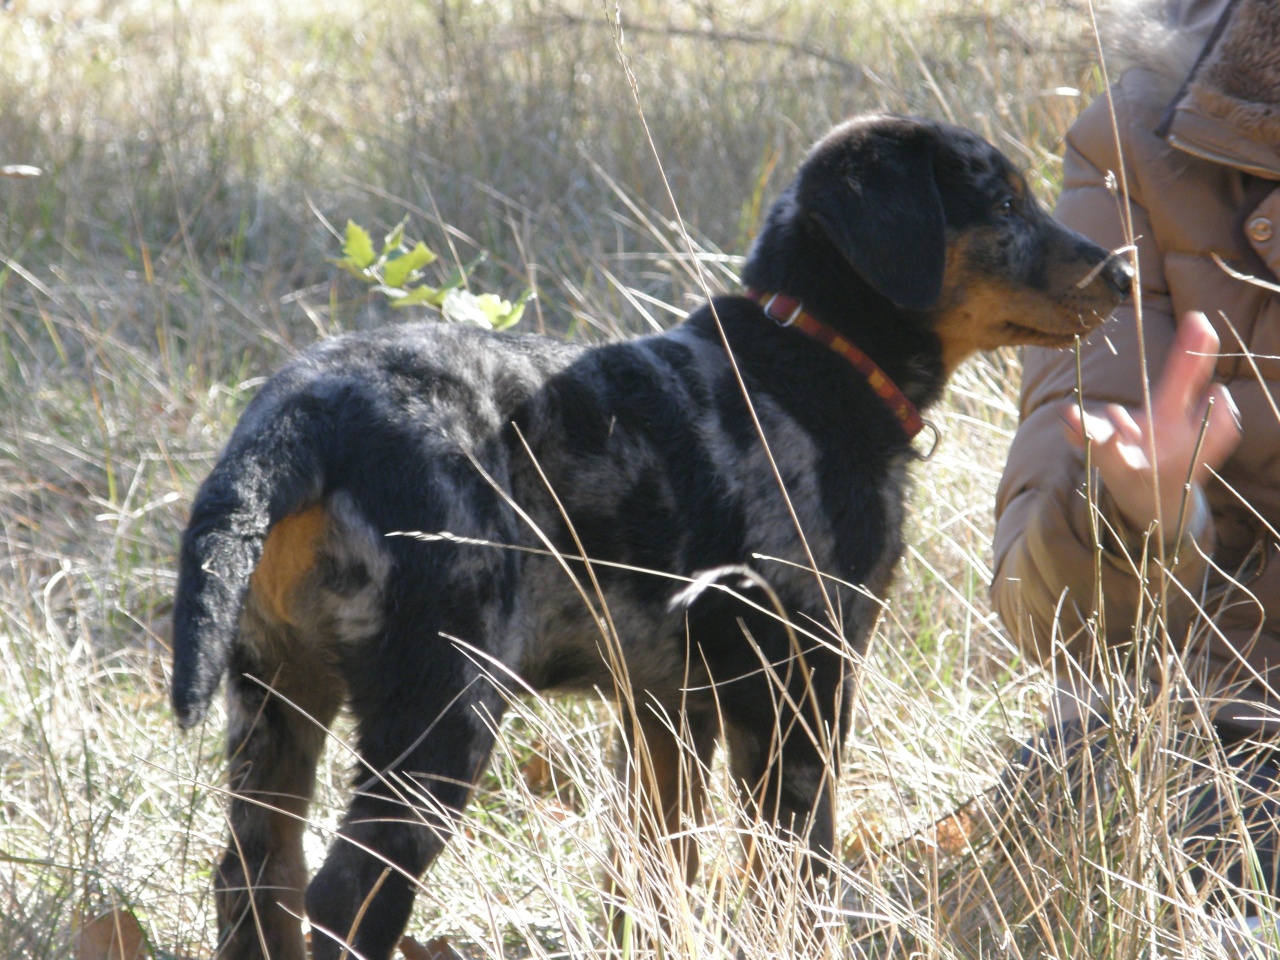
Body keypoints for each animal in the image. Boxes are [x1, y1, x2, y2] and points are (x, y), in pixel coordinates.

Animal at [170, 114, 1131, 960]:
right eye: (1002, 203)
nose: (1122, 273)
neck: (806, 364)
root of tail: (304, 412)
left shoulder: (664, 706)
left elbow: (655, 869)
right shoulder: (800, 682)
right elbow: (795, 866)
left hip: (273, 699)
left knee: (254, 881)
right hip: (441, 707)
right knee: (345, 896)